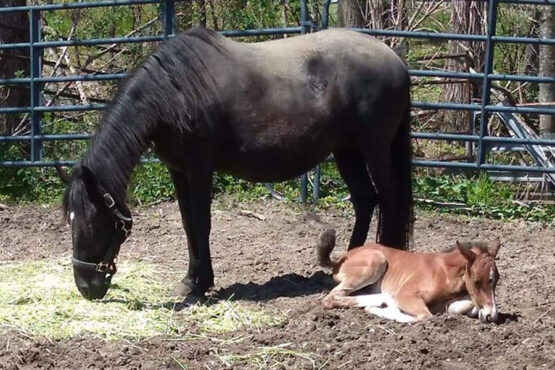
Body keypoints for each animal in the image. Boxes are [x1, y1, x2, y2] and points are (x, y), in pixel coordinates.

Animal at [63, 28, 414, 300]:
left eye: (92, 224)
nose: (86, 287)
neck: (173, 93)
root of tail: (394, 59)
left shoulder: (200, 168)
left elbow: (201, 223)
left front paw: (201, 284)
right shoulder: (178, 170)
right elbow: (188, 224)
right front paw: (190, 281)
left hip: (374, 148)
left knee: (388, 198)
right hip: (346, 150)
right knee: (365, 199)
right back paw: (346, 263)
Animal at [318, 230, 504, 322]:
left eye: (496, 281)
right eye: (476, 281)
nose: (492, 316)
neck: (446, 273)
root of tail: (340, 259)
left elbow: (469, 306)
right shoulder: (406, 294)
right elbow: (424, 316)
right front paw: (376, 309)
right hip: (375, 262)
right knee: (330, 298)